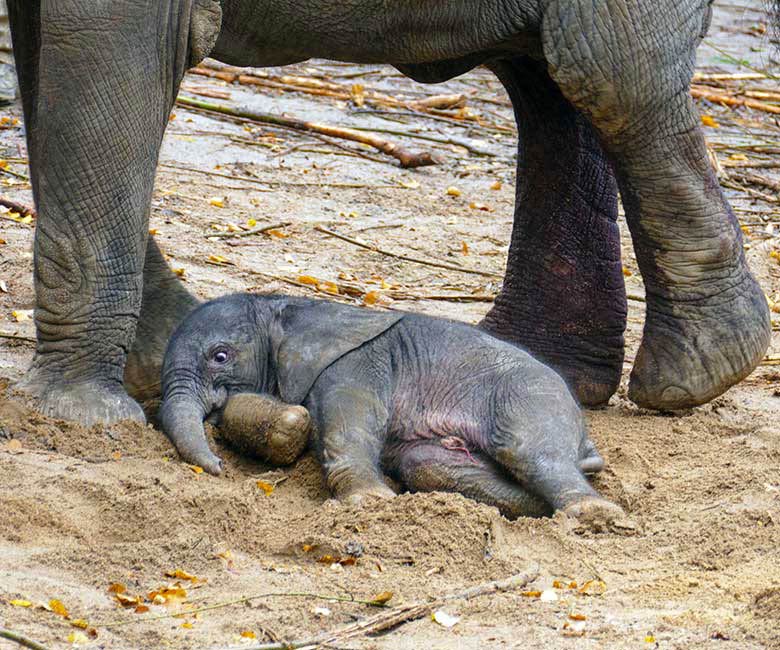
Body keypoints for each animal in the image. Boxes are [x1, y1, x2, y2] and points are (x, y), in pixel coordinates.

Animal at [7, 0, 772, 422]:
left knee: (605, 73)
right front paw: (151, 365)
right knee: (549, 75)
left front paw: (84, 417)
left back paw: (696, 372)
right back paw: (547, 365)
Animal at [160, 292, 628, 524]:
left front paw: (369, 502)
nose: (218, 468)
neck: (289, 306)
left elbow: (349, 423)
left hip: (528, 392)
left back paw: (594, 514)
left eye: (220, 356)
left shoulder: (356, 362)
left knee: (529, 452)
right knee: (427, 465)